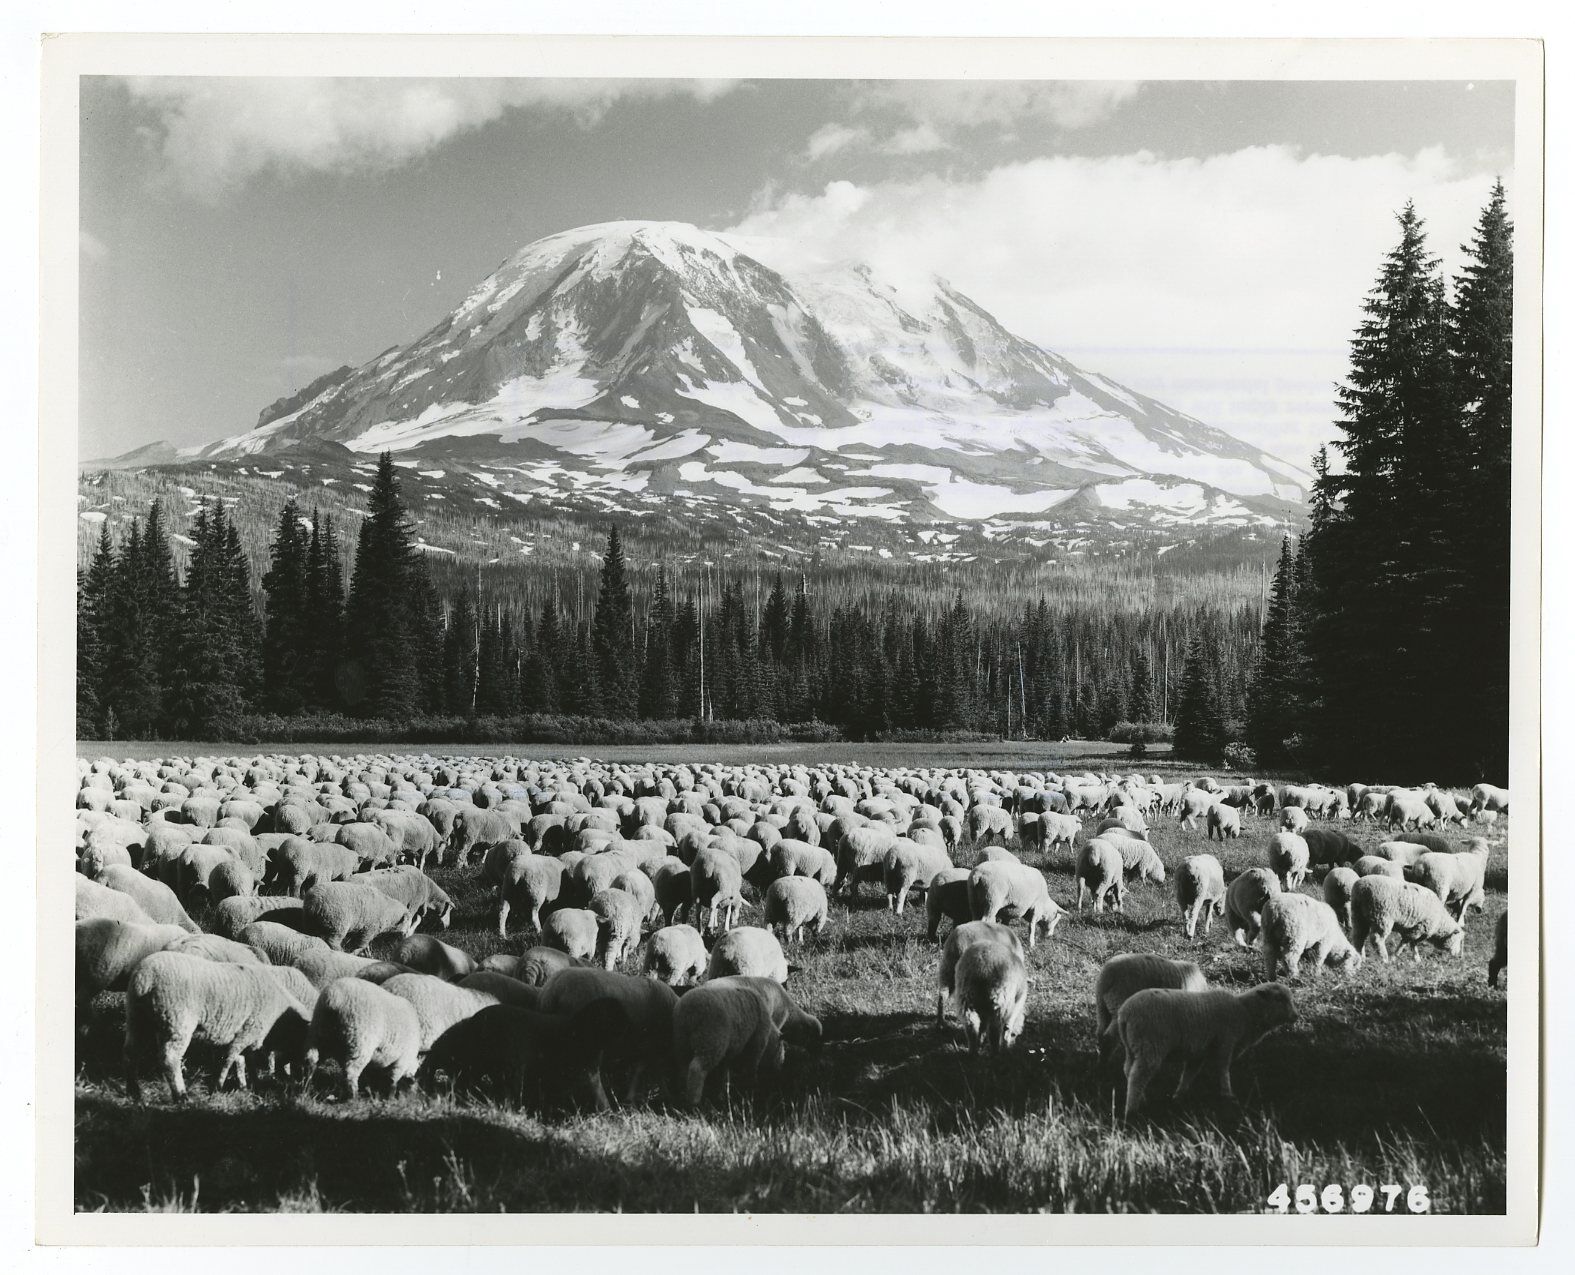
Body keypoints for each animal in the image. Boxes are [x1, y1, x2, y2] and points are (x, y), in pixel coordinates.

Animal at [124, 950, 308, 1095]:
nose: (298, 1079)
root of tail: (146, 977)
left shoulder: (243, 1035)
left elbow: (244, 1061)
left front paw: (248, 1085)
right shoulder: (248, 1031)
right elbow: (229, 1059)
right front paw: (219, 1086)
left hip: (137, 1017)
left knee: (131, 1053)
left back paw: (135, 1092)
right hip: (177, 1020)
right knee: (170, 1059)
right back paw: (181, 1095)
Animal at [1115, 982, 1297, 1114]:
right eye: (1279, 998)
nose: (1296, 1016)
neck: (1245, 1013)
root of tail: (1125, 1012)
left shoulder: (1198, 1053)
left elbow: (1189, 1073)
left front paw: (1179, 1096)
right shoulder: (1226, 1042)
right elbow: (1223, 1069)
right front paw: (1227, 1095)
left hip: (1132, 1047)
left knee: (1128, 1070)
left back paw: (1141, 1099)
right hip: (1150, 1046)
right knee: (1138, 1076)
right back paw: (1132, 1110)